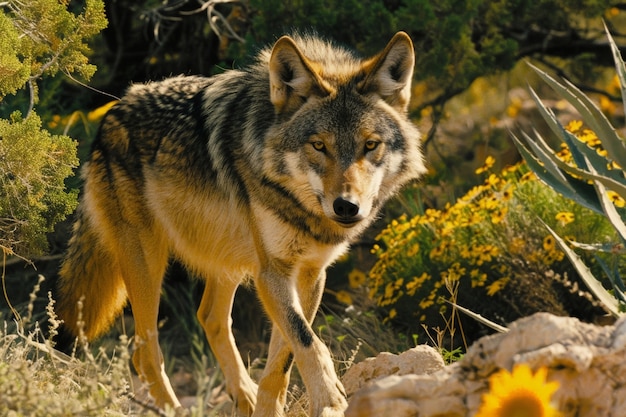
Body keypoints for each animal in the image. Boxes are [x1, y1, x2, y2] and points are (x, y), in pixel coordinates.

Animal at [56, 30, 424, 414]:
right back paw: (174, 408)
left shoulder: (308, 274)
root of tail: (111, 114)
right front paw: (330, 399)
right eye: (319, 145)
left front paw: (270, 407)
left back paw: (243, 396)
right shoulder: (272, 271)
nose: (347, 206)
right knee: (145, 352)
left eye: (371, 145)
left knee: (209, 318)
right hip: (148, 264)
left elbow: (285, 355)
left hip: (226, 260)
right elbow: (307, 340)